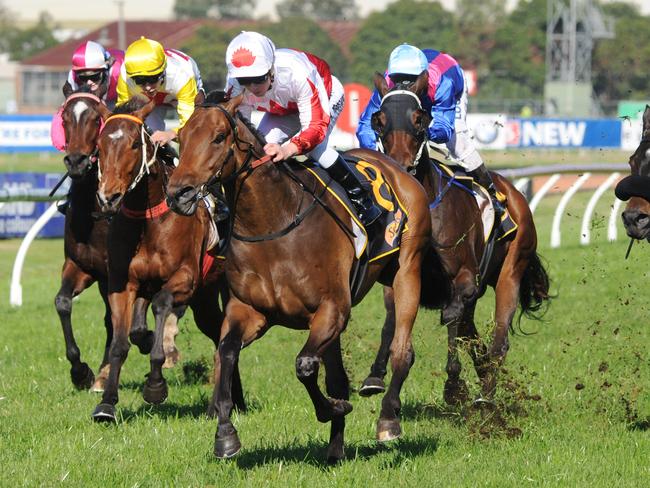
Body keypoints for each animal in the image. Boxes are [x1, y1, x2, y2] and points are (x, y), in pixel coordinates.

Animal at [90, 100, 243, 424]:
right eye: (100, 145)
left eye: (135, 144)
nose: (108, 197)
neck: (147, 221)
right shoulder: (123, 283)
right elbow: (121, 342)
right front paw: (107, 403)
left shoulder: (185, 279)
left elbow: (162, 304)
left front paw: (155, 385)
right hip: (205, 299)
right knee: (217, 332)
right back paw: (233, 398)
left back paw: (219, 403)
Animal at [165, 93, 432, 464]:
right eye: (181, 136)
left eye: (218, 137)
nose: (179, 194)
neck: (274, 222)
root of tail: (395, 165)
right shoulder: (250, 312)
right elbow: (226, 353)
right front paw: (226, 436)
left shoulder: (331, 310)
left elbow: (304, 365)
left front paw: (332, 409)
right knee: (338, 376)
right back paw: (335, 450)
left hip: (407, 271)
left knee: (402, 351)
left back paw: (388, 420)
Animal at [362, 70, 548, 402]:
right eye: (379, 120)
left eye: (419, 119)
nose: (400, 168)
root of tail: (514, 193)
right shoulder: (400, 276)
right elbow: (393, 317)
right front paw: (375, 375)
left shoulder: (463, 278)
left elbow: (449, 316)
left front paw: (453, 384)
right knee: (471, 335)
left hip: (511, 271)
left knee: (497, 340)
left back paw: (485, 395)